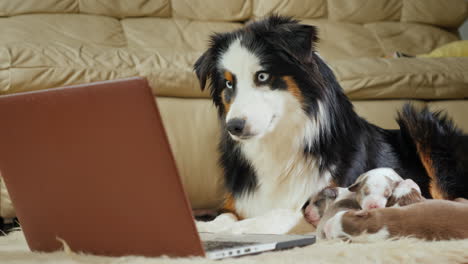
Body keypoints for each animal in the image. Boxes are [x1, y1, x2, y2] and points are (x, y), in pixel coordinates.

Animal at [193, 14, 468, 219]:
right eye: (229, 84)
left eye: (262, 76)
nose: (234, 127)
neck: (280, 145)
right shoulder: (236, 206)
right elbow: (225, 218)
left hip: (421, 123)